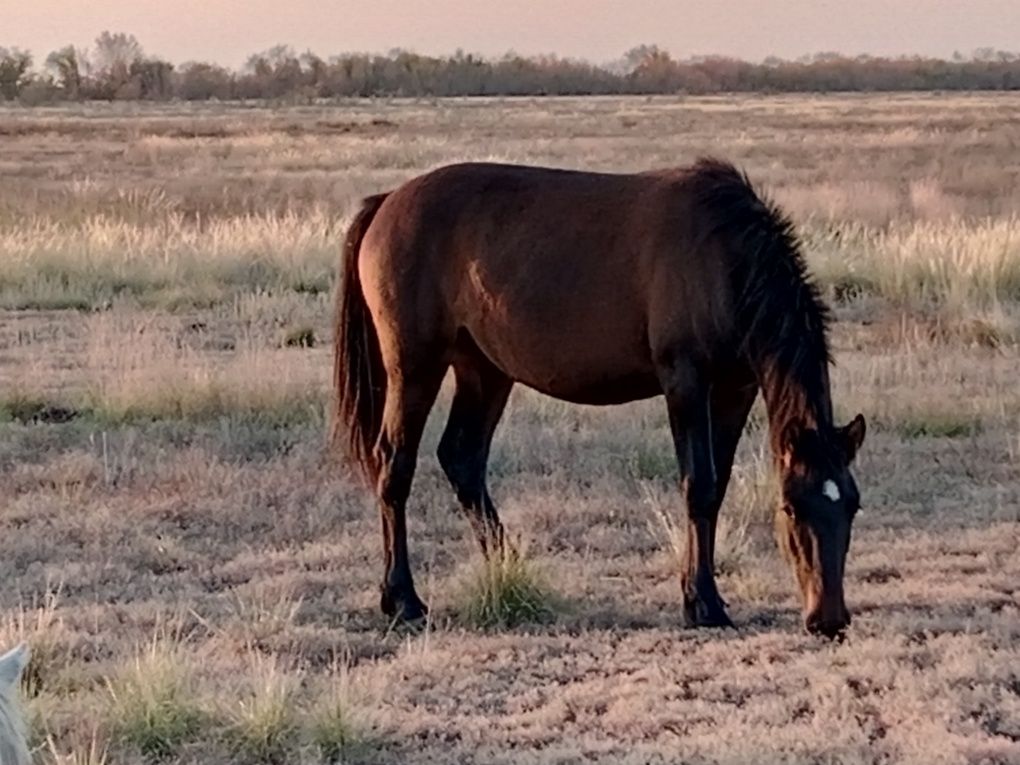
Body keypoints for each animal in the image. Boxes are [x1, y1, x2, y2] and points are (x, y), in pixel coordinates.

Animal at [334, 160, 869, 640]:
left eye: (852, 506)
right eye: (792, 509)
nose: (829, 620)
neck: (722, 257)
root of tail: (387, 202)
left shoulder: (736, 389)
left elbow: (715, 490)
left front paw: (703, 594)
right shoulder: (685, 381)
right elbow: (698, 485)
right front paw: (703, 604)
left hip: (483, 370)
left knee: (462, 459)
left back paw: (506, 565)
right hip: (415, 369)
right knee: (396, 465)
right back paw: (403, 599)